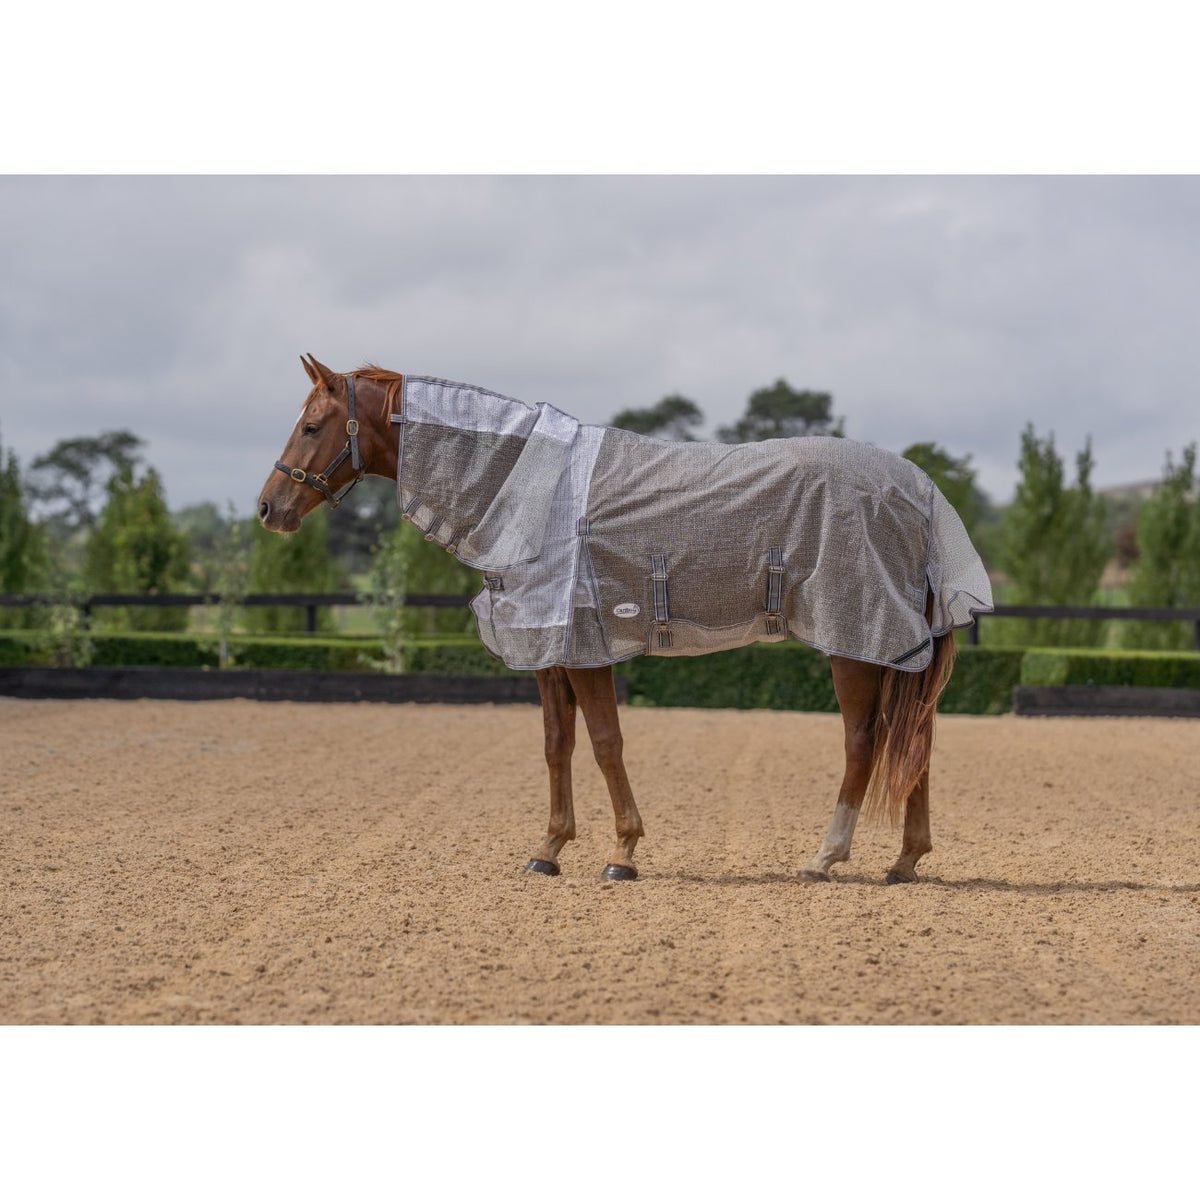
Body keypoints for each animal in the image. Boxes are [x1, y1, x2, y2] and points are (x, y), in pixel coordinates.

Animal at [258, 354, 992, 885]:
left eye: (314, 425)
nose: (269, 509)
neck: (527, 487)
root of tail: (920, 489)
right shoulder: (548, 649)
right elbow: (557, 743)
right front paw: (548, 849)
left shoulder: (585, 646)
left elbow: (607, 743)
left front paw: (624, 852)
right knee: (913, 738)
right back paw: (904, 861)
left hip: (857, 639)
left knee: (864, 741)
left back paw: (825, 857)